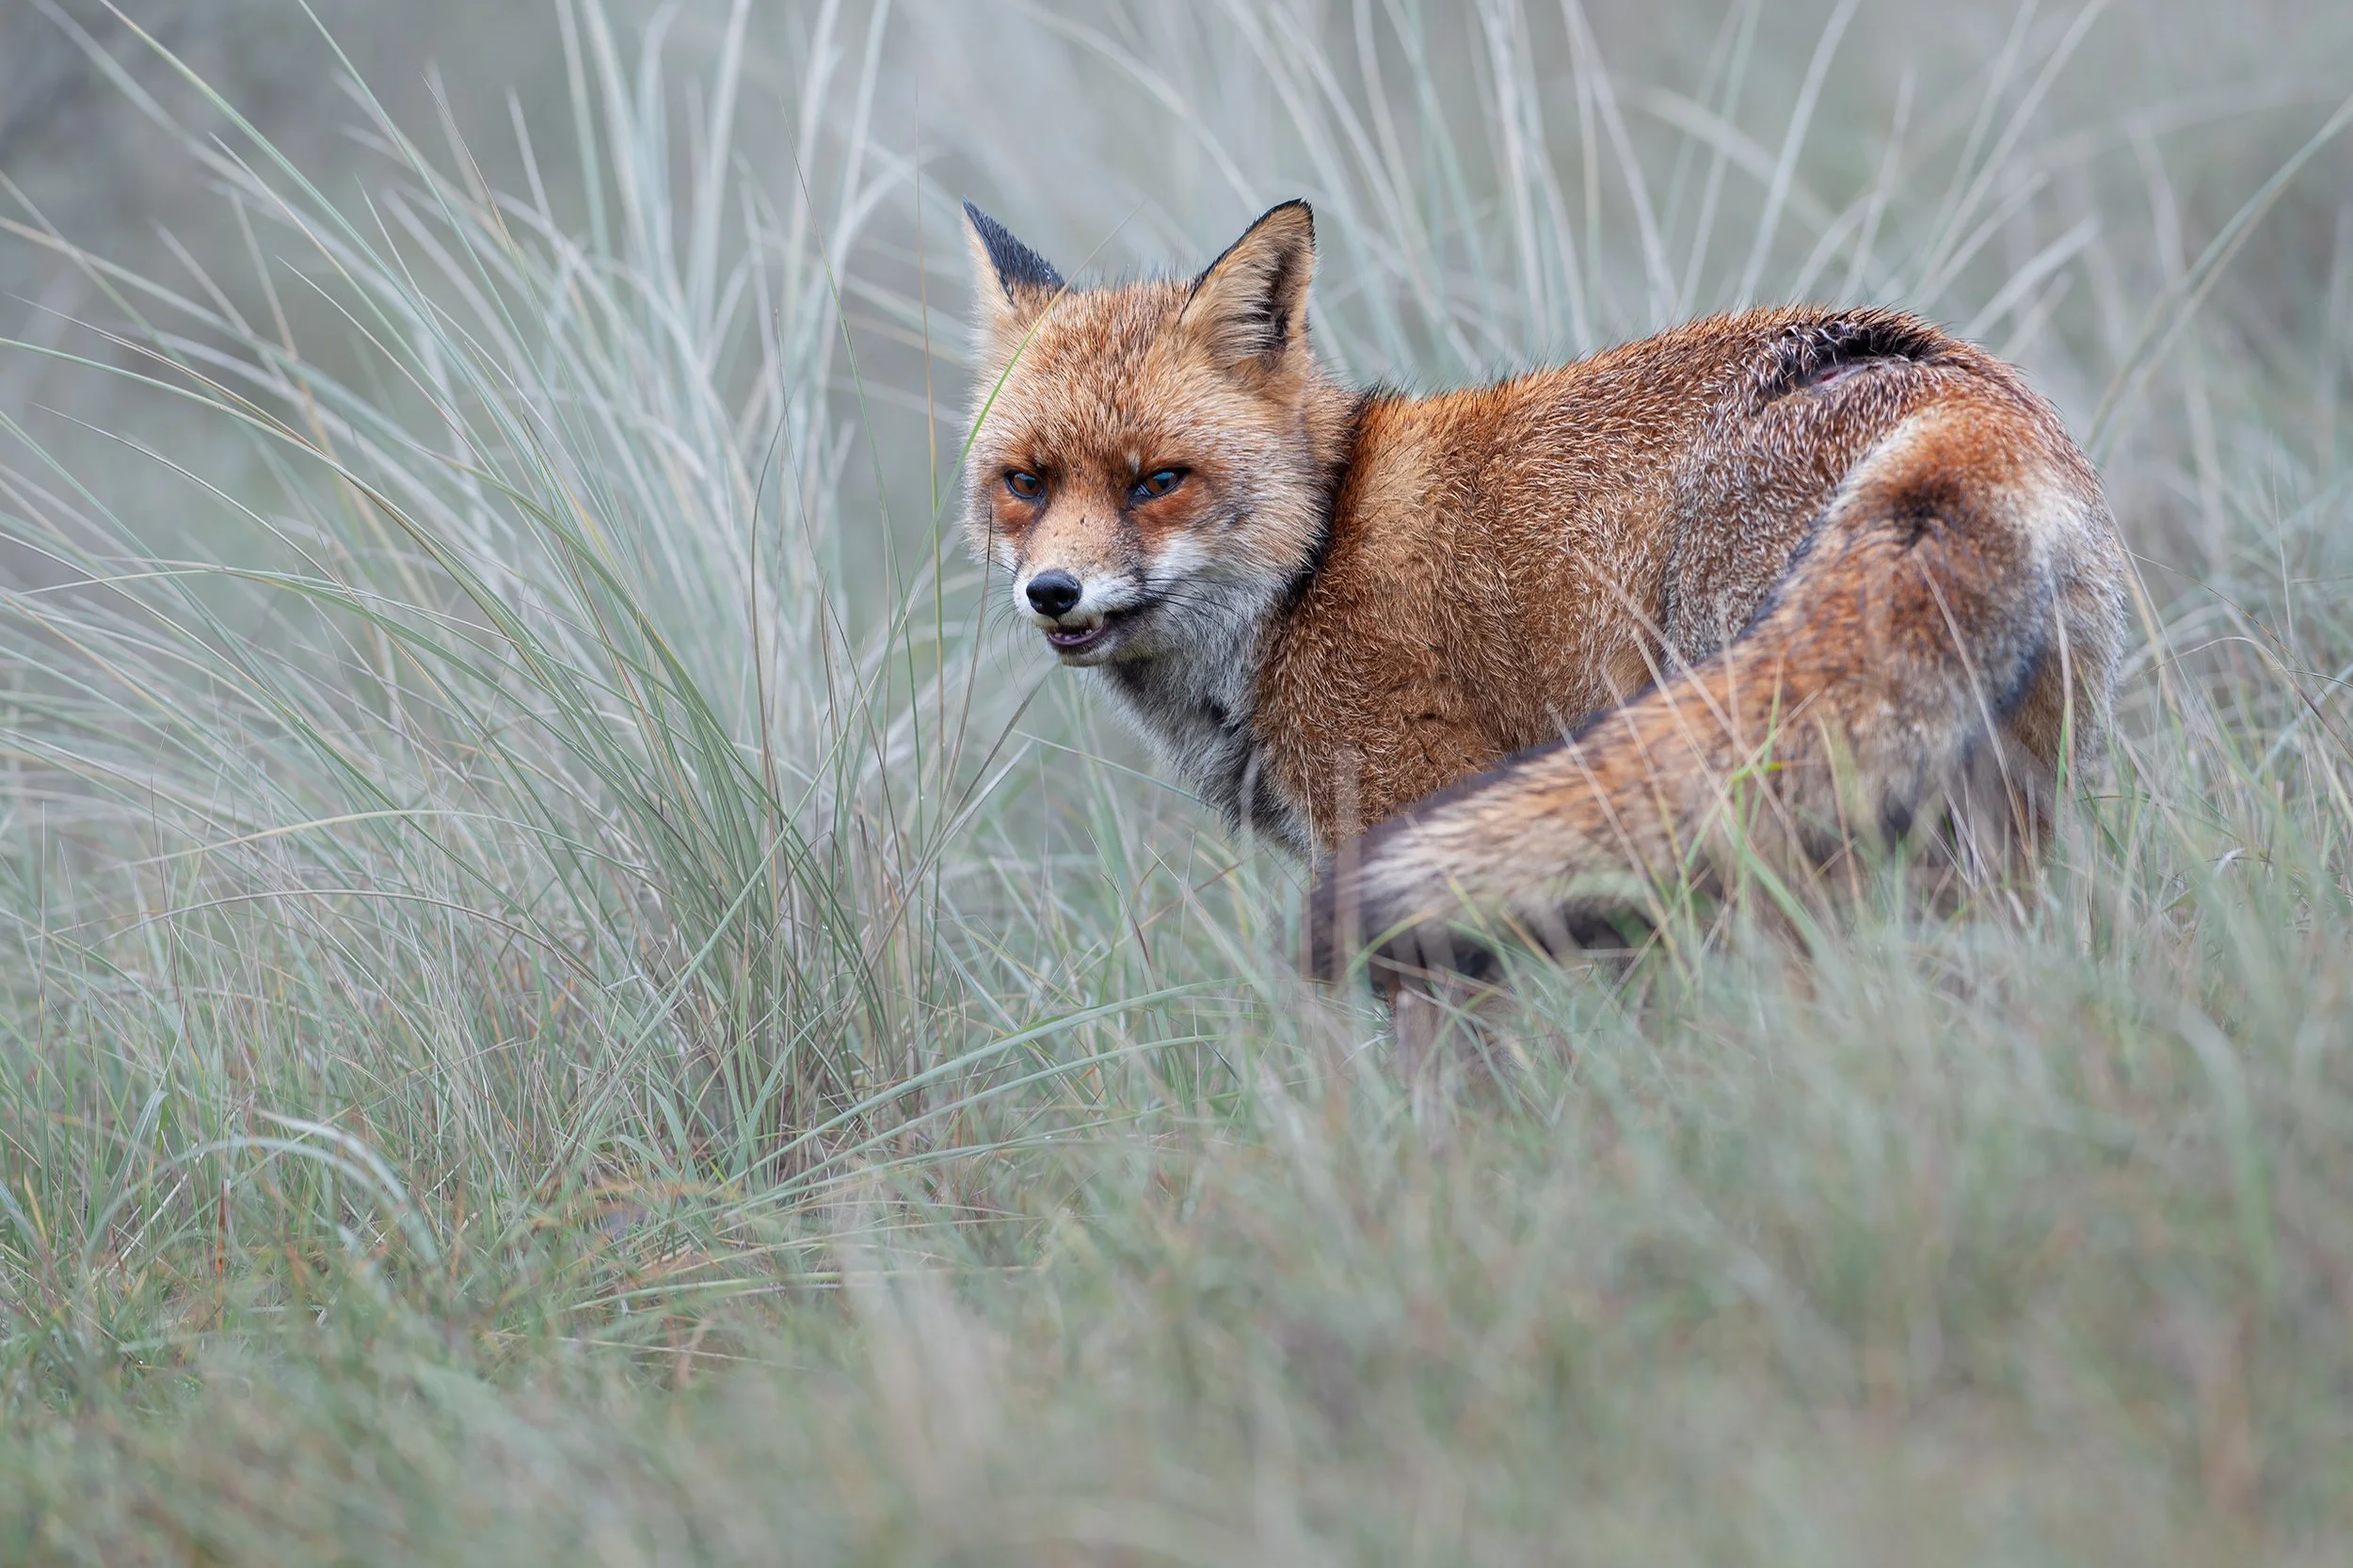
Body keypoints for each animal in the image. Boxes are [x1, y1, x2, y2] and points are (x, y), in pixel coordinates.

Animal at [960, 198, 2130, 984]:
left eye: (1158, 481)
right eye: (1025, 482)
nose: (1053, 592)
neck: (1313, 559)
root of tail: (1944, 382)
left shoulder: (1414, 846)